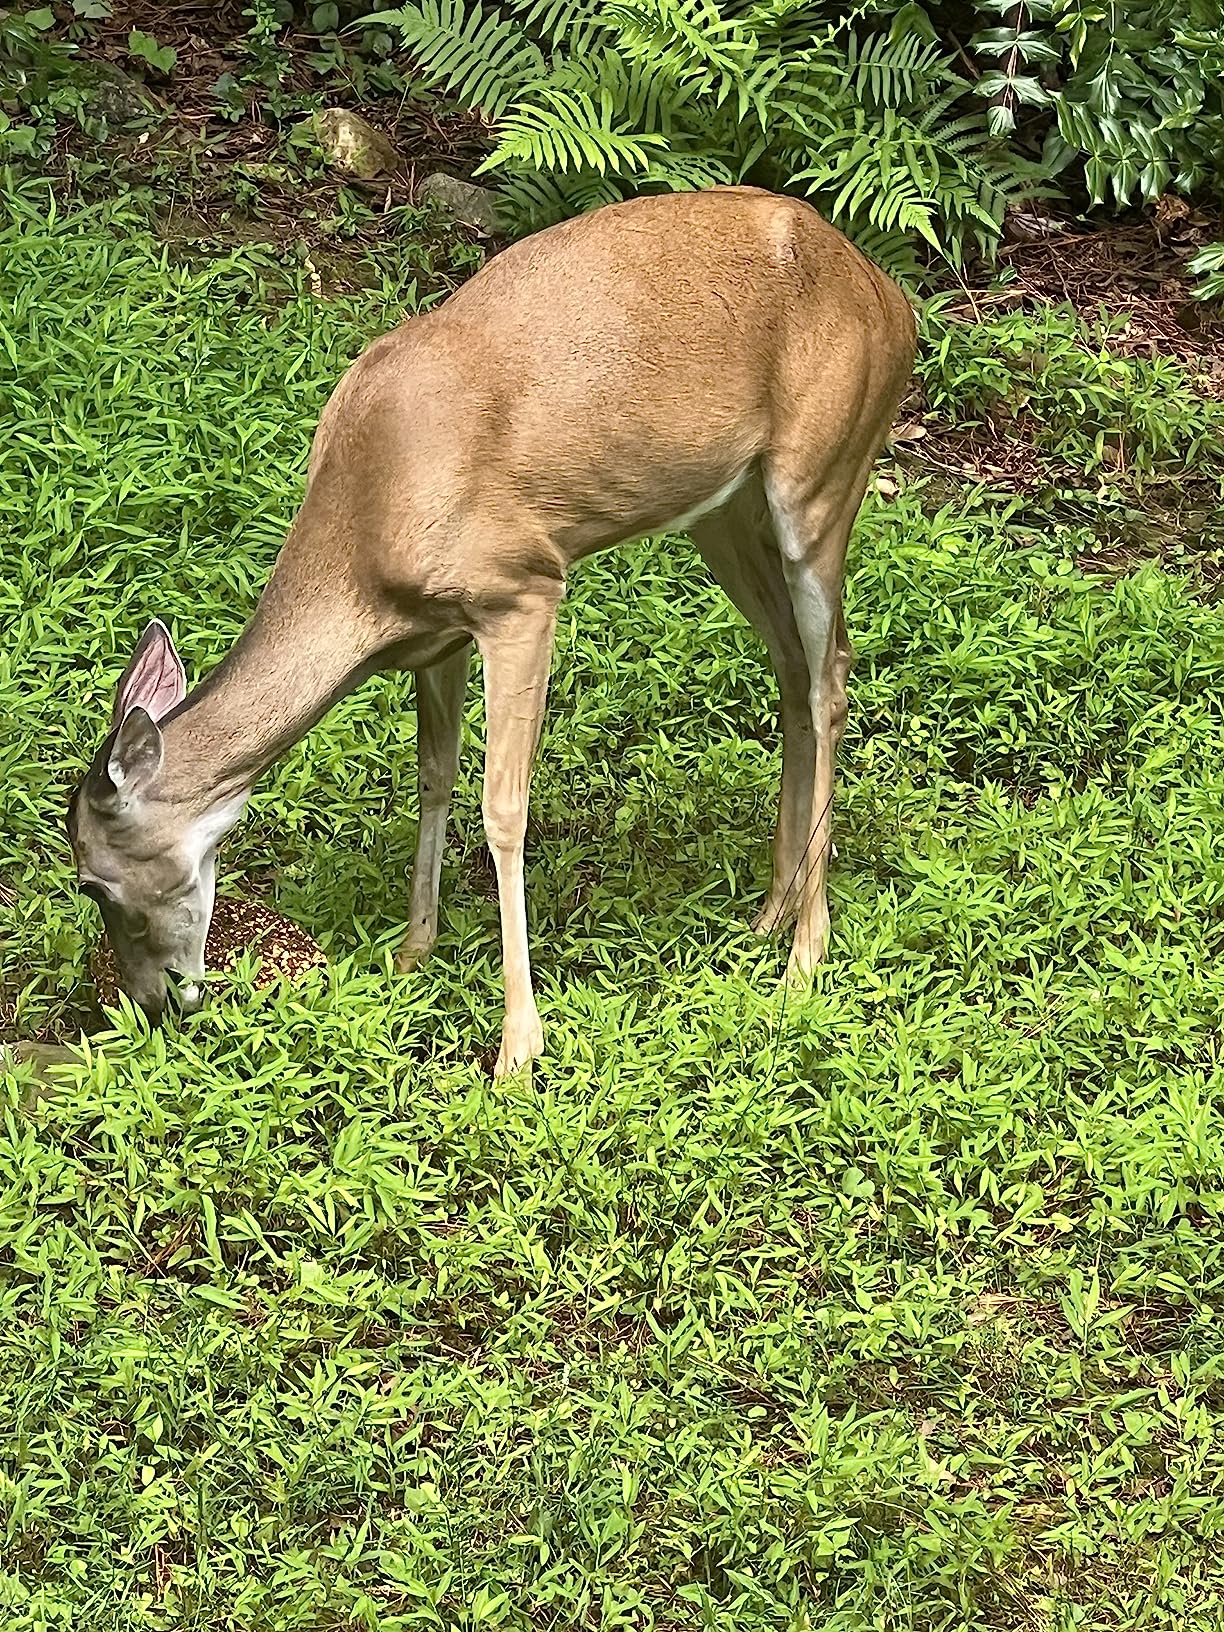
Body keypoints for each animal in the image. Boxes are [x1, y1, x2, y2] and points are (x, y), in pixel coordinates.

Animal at [66, 185, 915, 1078]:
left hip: (821, 476)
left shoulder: (521, 589)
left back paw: (806, 953)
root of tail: (893, 302)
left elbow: (503, 806)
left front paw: (518, 1045)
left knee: (831, 674)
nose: (151, 1003)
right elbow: (433, 776)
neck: (366, 546)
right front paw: (413, 952)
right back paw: (770, 912)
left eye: (94, 883)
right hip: (723, 511)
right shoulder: (437, 635)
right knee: (792, 664)